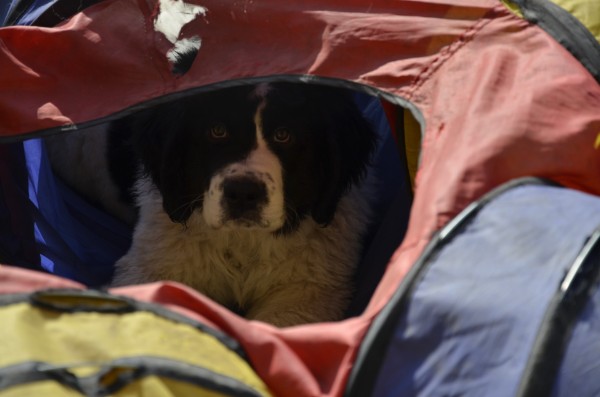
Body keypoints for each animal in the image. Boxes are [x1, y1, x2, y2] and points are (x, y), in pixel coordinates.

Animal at [47, 83, 378, 324]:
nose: (243, 193)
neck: (244, 242)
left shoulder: (309, 290)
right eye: (217, 130)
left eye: (284, 135)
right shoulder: (154, 264)